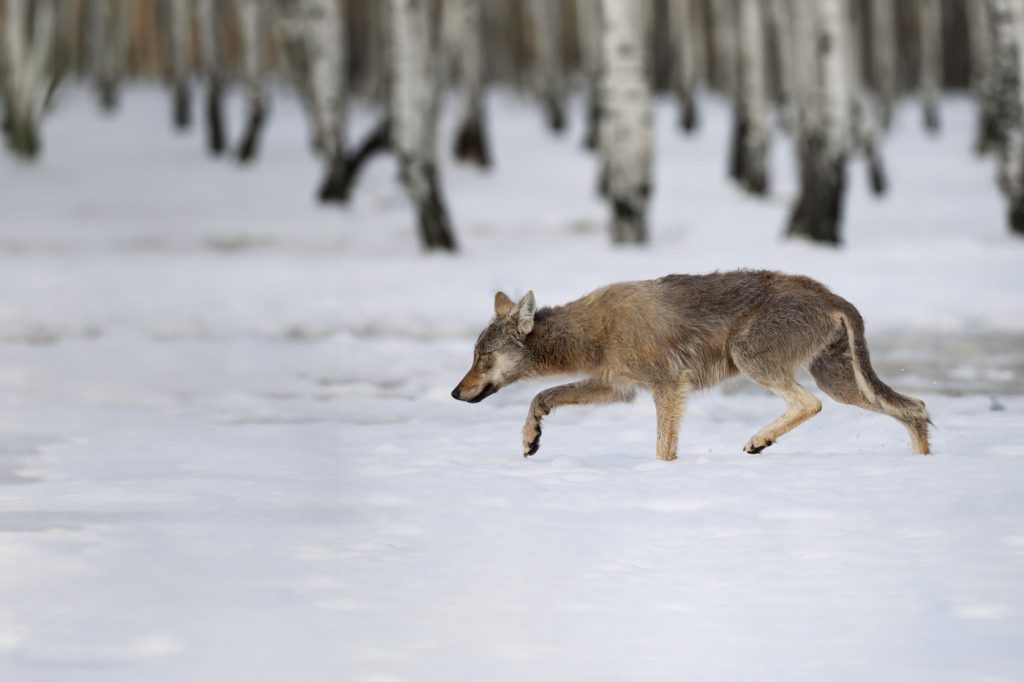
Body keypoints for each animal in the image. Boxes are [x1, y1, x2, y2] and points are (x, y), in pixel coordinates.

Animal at [452, 270, 931, 460]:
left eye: (482, 358)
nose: (456, 393)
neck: (594, 329)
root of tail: (833, 295)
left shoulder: (667, 385)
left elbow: (664, 450)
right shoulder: (618, 388)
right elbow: (540, 395)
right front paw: (531, 437)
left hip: (753, 359)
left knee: (809, 405)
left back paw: (759, 441)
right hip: (839, 382)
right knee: (916, 407)